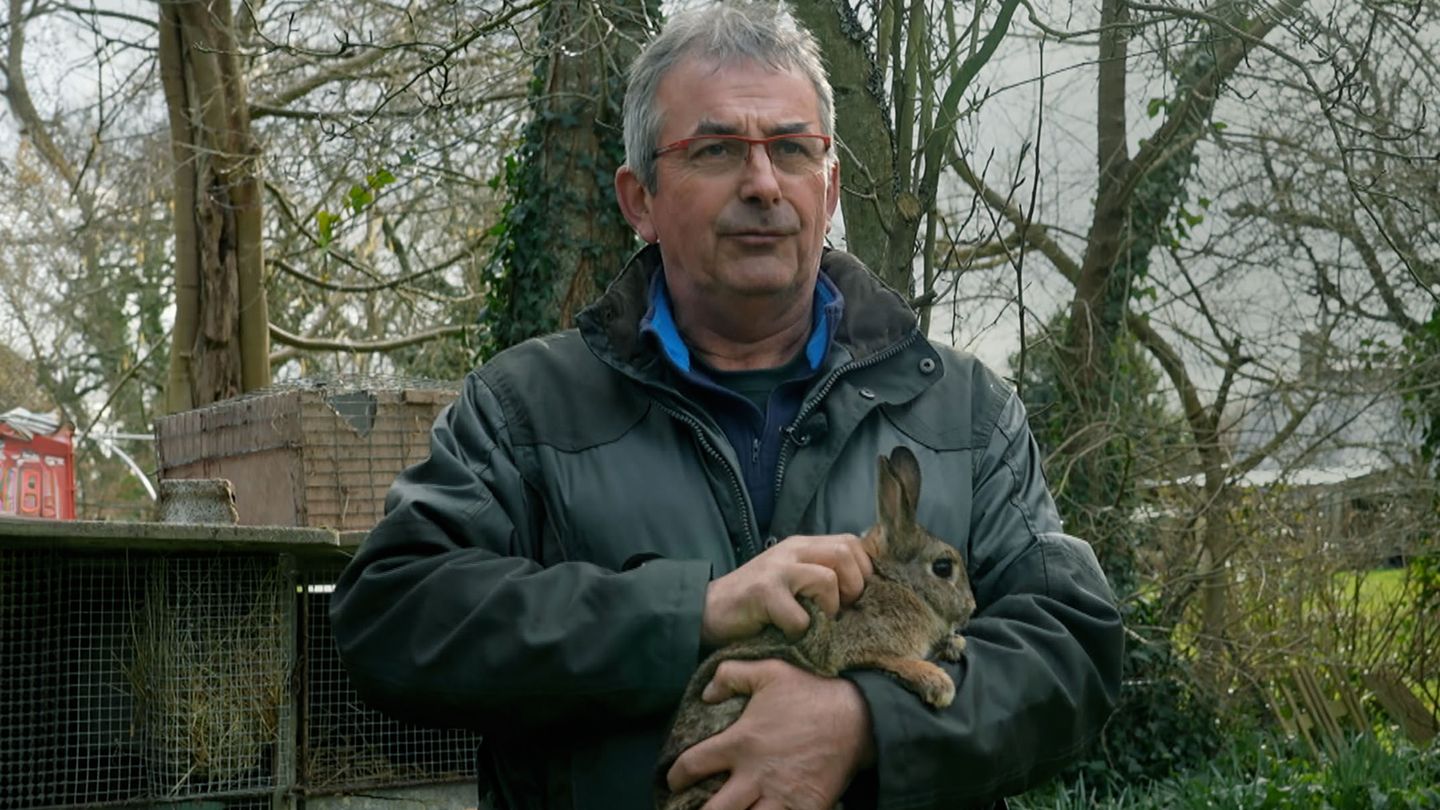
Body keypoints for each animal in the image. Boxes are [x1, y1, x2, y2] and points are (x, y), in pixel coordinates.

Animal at [654, 445, 977, 810]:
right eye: (943, 567)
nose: (971, 607)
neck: (896, 582)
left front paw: (954, 644)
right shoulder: (853, 644)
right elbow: (888, 659)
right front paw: (936, 682)